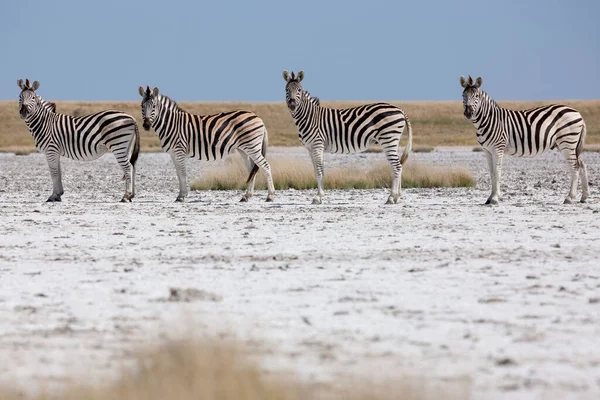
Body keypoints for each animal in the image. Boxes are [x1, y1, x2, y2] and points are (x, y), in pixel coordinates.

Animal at [137, 85, 276, 202]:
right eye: (142, 106)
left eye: (154, 106)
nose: (146, 125)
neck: (171, 124)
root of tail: (258, 117)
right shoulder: (173, 154)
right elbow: (178, 174)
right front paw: (181, 195)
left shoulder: (179, 150)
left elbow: (182, 173)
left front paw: (182, 196)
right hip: (244, 149)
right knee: (252, 169)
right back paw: (246, 196)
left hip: (252, 147)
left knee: (265, 166)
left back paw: (270, 196)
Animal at [284, 69, 410, 205]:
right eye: (287, 89)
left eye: (299, 90)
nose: (292, 105)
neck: (309, 117)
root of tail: (400, 109)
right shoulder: (311, 148)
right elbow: (318, 170)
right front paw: (320, 196)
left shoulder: (317, 145)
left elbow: (319, 171)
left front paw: (318, 197)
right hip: (393, 140)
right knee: (399, 165)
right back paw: (397, 197)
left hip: (388, 139)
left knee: (396, 166)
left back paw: (391, 197)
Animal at [462, 76, 588, 206]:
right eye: (463, 96)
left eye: (476, 96)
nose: (468, 113)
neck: (489, 120)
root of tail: (577, 112)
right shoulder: (487, 150)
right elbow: (491, 173)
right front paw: (490, 197)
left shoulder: (498, 148)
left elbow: (497, 172)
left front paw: (495, 198)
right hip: (570, 145)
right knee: (582, 164)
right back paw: (584, 196)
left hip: (567, 142)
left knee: (575, 167)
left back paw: (570, 198)